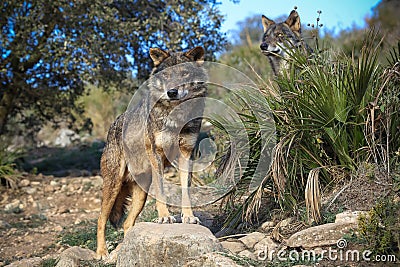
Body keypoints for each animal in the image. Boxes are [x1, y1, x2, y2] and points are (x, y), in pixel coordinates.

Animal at [97, 46, 208, 260]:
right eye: (166, 75)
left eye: (184, 74)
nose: (172, 92)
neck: (175, 117)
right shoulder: (156, 154)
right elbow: (162, 190)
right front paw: (164, 217)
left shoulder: (186, 155)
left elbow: (186, 190)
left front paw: (189, 216)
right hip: (112, 186)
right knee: (100, 220)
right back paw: (101, 252)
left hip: (140, 195)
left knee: (127, 224)